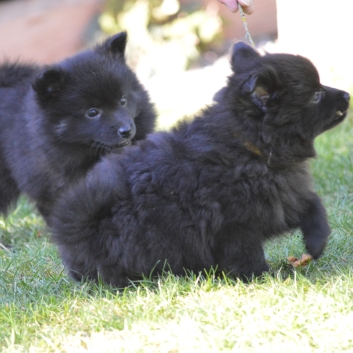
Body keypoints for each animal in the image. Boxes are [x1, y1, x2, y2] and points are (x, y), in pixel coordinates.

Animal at [50, 42, 350, 286]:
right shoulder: (237, 221)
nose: (347, 95)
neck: (250, 146)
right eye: (316, 95)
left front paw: (316, 242)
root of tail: (75, 229)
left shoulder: (282, 195)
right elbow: (246, 252)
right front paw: (261, 277)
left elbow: (313, 204)